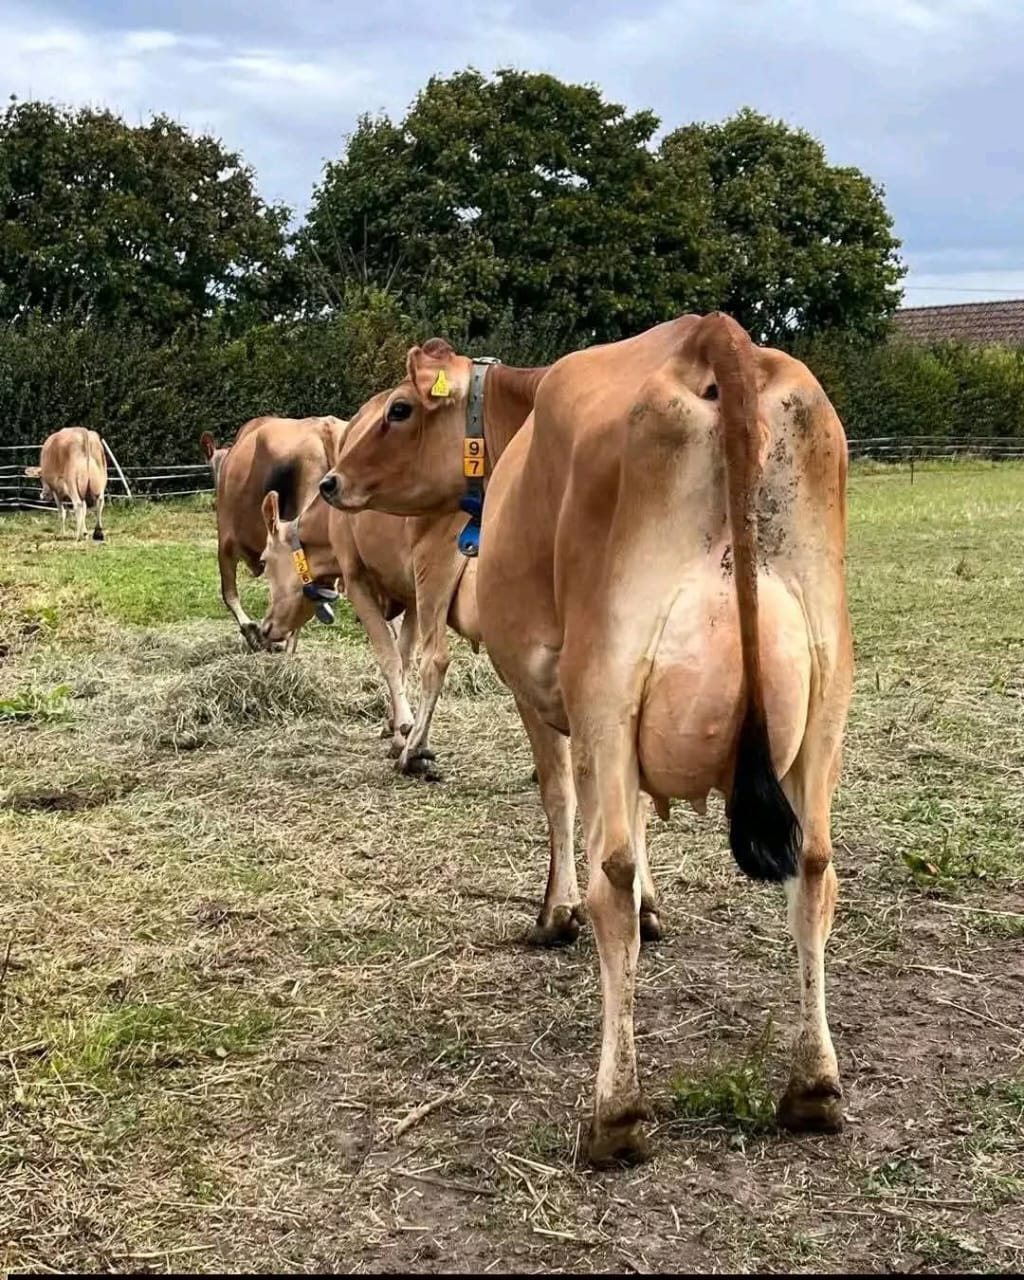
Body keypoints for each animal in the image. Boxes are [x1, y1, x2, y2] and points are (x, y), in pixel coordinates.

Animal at [319, 315, 854, 1165]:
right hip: (825, 693)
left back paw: (617, 1111)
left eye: (398, 410)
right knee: (813, 870)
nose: (330, 483)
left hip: (610, 676)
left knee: (613, 876)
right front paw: (658, 909)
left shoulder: (543, 687)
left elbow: (563, 796)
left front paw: (555, 912)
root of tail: (713, 338)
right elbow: (630, 813)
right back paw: (814, 1088)